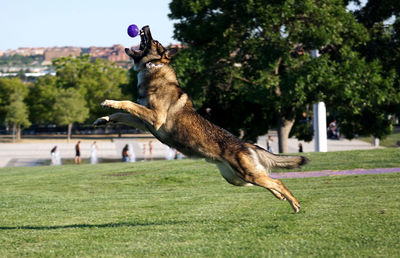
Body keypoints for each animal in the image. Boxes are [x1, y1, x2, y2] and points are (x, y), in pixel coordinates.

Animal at [95, 25, 308, 212]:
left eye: (154, 41)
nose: (145, 27)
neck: (154, 69)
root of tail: (245, 144)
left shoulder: (154, 118)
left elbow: (127, 104)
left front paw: (109, 102)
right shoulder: (145, 122)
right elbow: (121, 115)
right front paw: (103, 119)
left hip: (247, 174)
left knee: (277, 181)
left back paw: (294, 203)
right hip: (237, 178)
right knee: (270, 181)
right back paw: (280, 197)